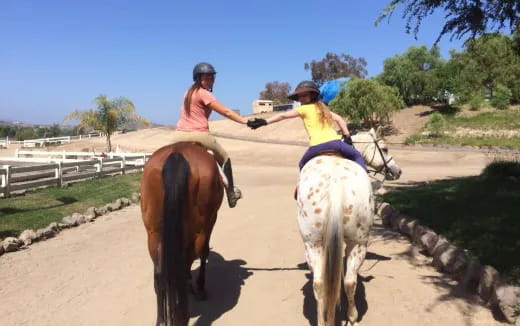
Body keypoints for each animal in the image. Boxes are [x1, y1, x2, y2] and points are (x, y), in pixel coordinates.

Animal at [141, 142, 224, 326]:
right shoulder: (208, 224)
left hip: (153, 233)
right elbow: (202, 255)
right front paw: (199, 288)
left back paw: (163, 318)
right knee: (196, 255)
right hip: (202, 227)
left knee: (160, 273)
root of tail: (177, 154)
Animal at [296, 129, 402, 326]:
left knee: (321, 284)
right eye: (384, 148)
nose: (397, 171)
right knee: (350, 281)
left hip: (313, 244)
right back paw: (352, 316)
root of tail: (335, 182)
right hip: (357, 244)